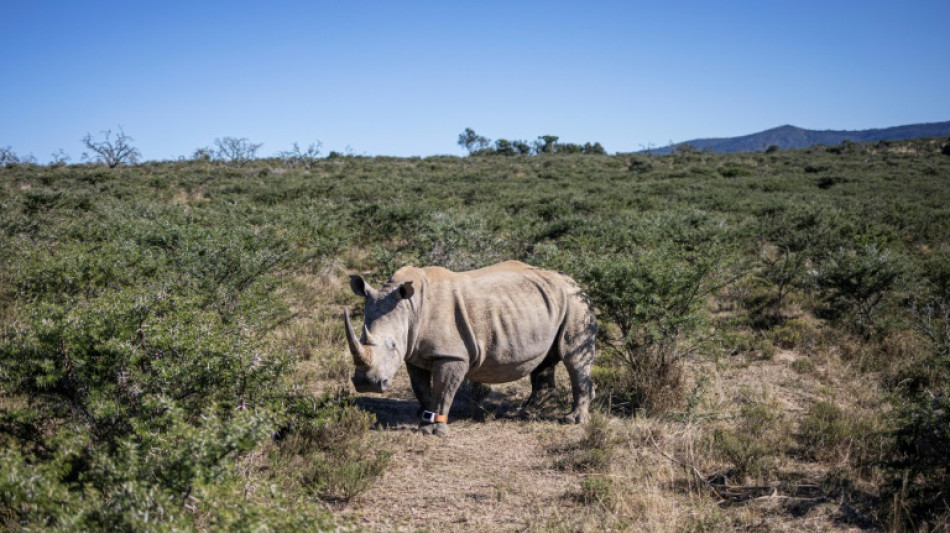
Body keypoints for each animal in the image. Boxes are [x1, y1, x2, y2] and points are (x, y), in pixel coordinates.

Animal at [342, 260, 596, 434]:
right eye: (362, 339)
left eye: (393, 345)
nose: (367, 384)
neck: (410, 308)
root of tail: (574, 281)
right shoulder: (413, 352)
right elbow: (420, 387)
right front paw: (423, 417)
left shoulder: (452, 355)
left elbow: (443, 391)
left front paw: (433, 430)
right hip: (547, 305)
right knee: (545, 360)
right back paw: (526, 412)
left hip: (576, 303)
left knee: (573, 357)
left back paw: (572, 420)